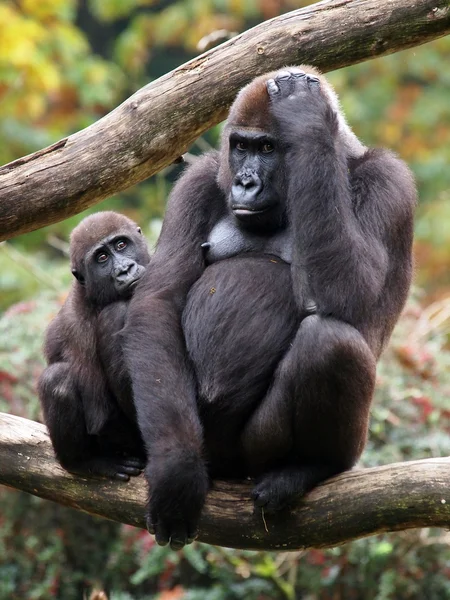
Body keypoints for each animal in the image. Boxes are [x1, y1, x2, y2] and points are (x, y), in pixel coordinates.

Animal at [38, 211, 150, 478]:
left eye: (121, 245)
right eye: (102, 258)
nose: (125, 270)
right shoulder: (78, 326)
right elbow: (102, 415)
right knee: (57, 380)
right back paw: (82, 462)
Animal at [122, 65, 414, 548]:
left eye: (268, 148)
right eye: (241, 146)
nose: (245, 182)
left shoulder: (389, 181)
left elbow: (353, 299)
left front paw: (309, 120)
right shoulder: (201, 179)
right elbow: (158, 301)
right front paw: (175, 468)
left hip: (263, 453)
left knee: (329, 343)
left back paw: (312, 467)